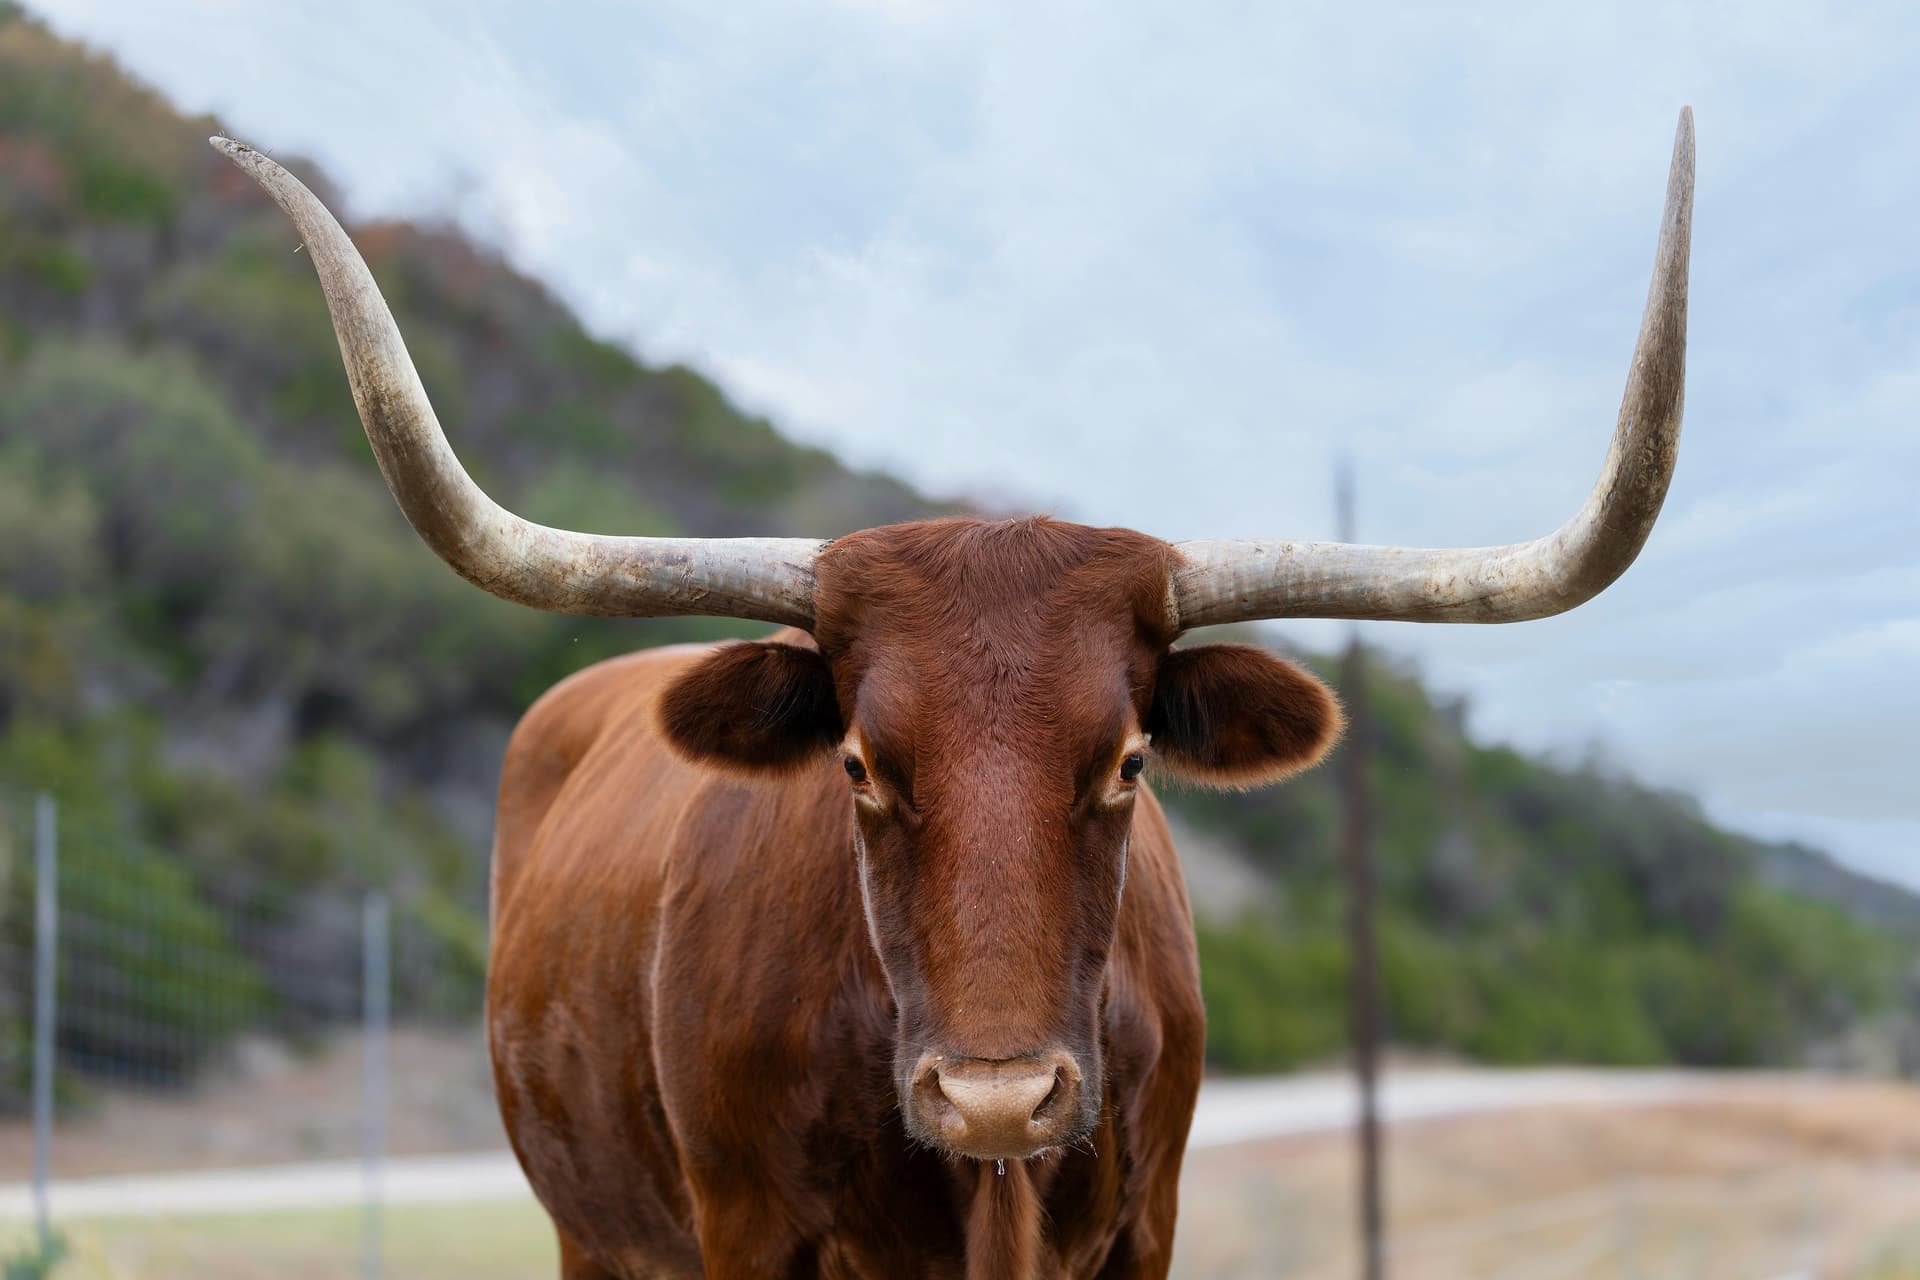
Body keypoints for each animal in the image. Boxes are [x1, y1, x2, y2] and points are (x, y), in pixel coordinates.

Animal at [210, 108, 1693, 1278]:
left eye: (1130, 761)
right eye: (860, 763)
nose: (996, 1099)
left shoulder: (1146, 1227)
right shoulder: (745, 1235)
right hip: (593, 1232)